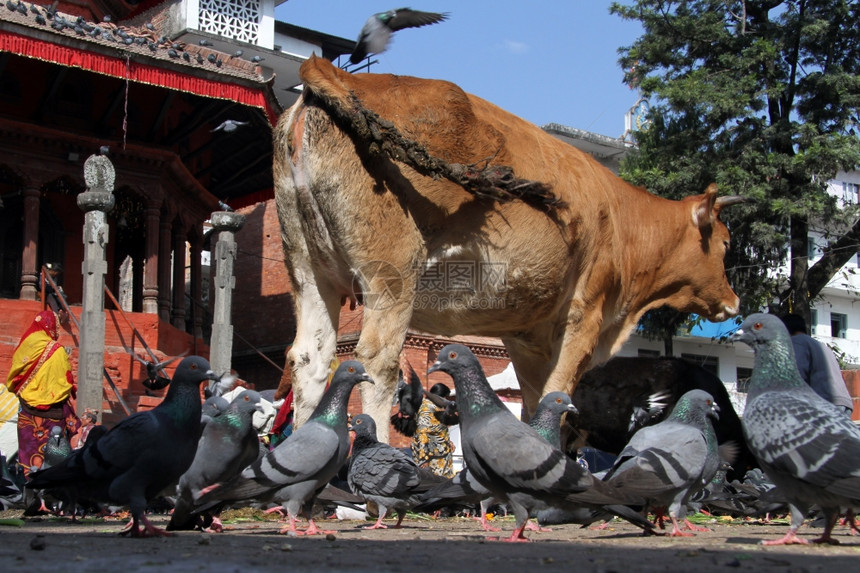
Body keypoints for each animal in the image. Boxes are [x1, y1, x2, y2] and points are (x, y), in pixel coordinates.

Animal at [274, 55, 740, 442]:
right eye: (725, 243)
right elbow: (559, 396)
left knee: (310, 361)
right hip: (391, 273)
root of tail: (331, 73)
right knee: (377, 362)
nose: (733, 301)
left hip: (308, 267)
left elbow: (536, 402)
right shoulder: (584, 312)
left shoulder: (528, 335)